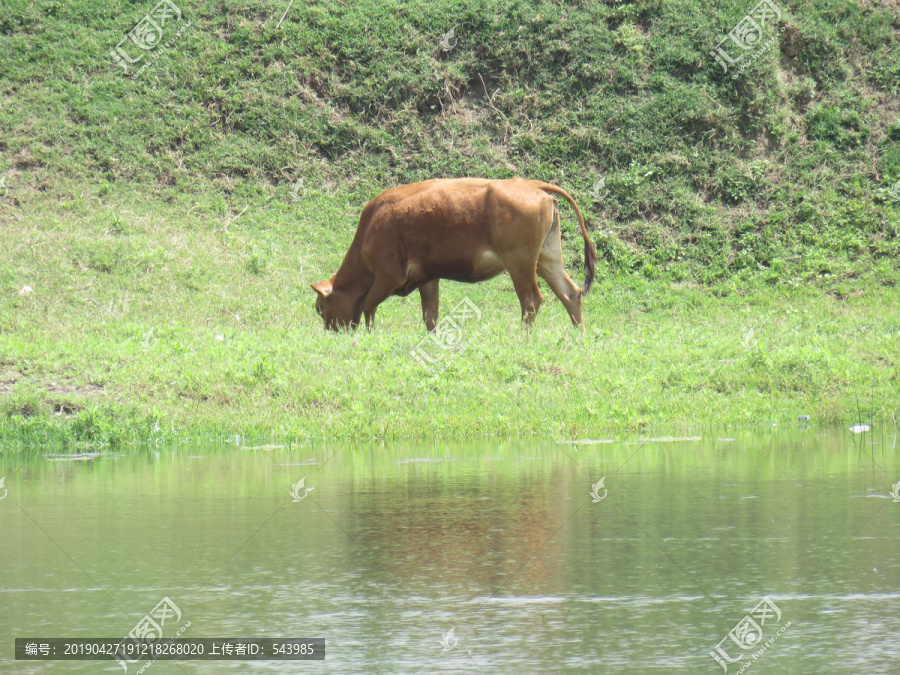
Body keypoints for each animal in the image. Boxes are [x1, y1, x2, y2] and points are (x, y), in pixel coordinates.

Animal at [312, 177, 596, 330]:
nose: (331, 332)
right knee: (571, 294)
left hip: (520, 263)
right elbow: (430, 315)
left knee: (531, 300)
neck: (371, 227)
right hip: (547, 258)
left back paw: (522, 337)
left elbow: (369, 305)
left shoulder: (387, 276)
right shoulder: (427, 277)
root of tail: (530, 185)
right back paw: (577, 338)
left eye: (319, 307)